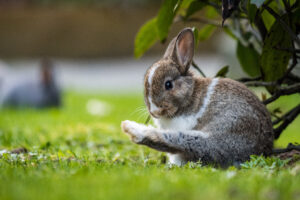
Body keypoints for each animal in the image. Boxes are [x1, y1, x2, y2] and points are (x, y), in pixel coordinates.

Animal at [120, 27, 274, 167]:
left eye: (168, 84)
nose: (154, 111)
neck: (189, 96)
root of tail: (265, 148)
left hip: (213, 140)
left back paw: (131, 128)